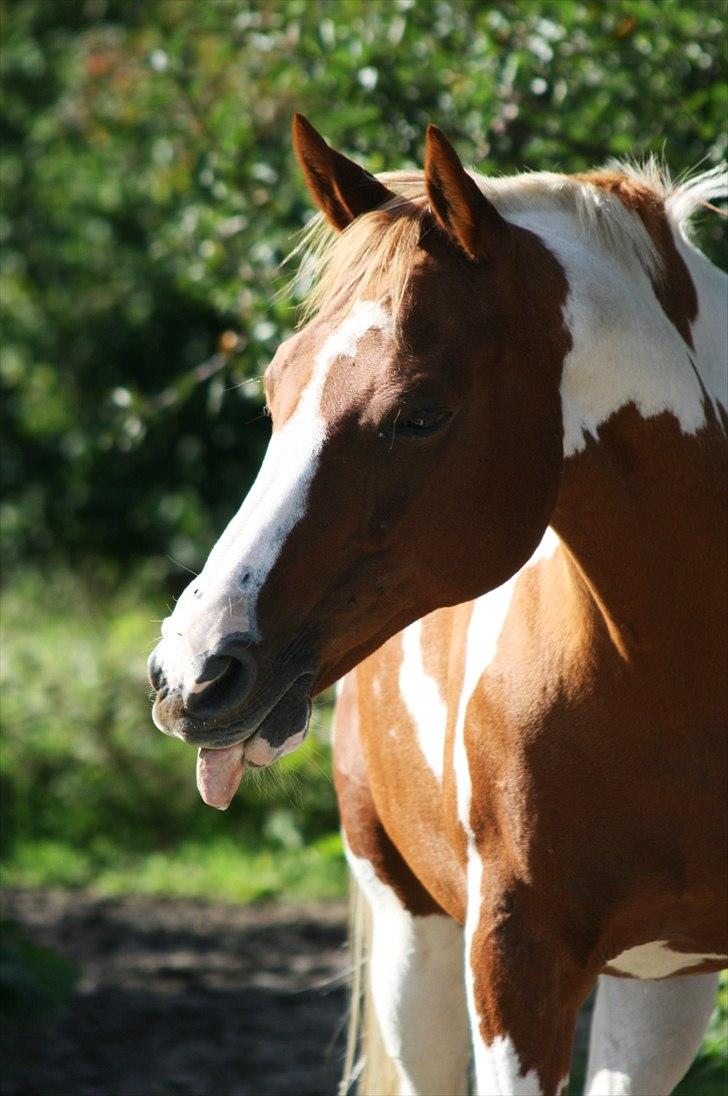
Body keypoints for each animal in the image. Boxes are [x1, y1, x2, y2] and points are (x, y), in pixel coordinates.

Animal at [149, 115, 728, 1091]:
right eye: (274, 387)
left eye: (419, 414)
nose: (191, 672)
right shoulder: (512, 962)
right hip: (411, 942)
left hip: (660, 987)